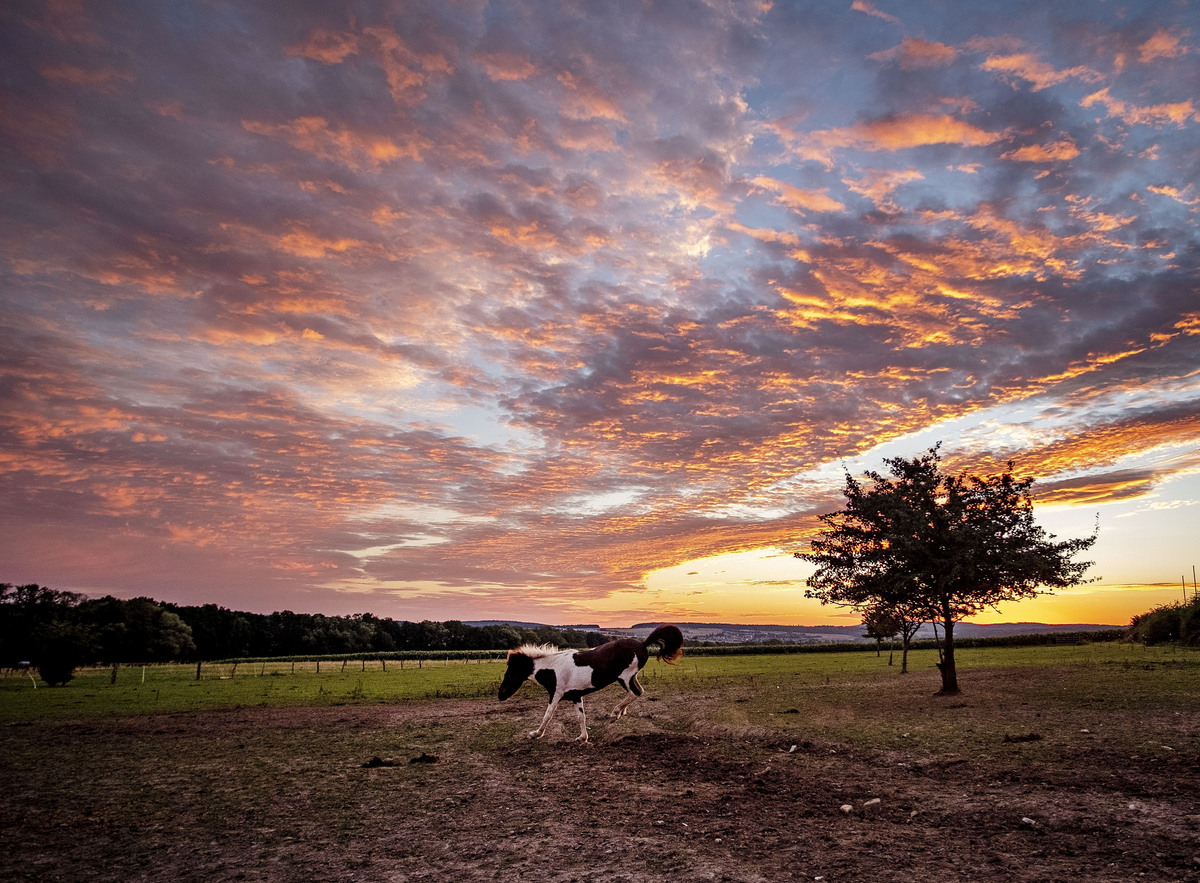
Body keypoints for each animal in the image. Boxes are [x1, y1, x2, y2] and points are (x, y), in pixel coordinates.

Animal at [496, 623, 686, 743]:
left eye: (509, 672)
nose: (500, 695)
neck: (553, 668)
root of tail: (643, 644)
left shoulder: (556, 694)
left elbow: (547, 715)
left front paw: (535, 734)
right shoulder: (575, 696)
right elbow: (581, 717)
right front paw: (582, 738)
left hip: (624, 677)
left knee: (635, 692)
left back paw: (615, 713)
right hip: (631, 677)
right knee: (639, 691)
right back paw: (620, 713)